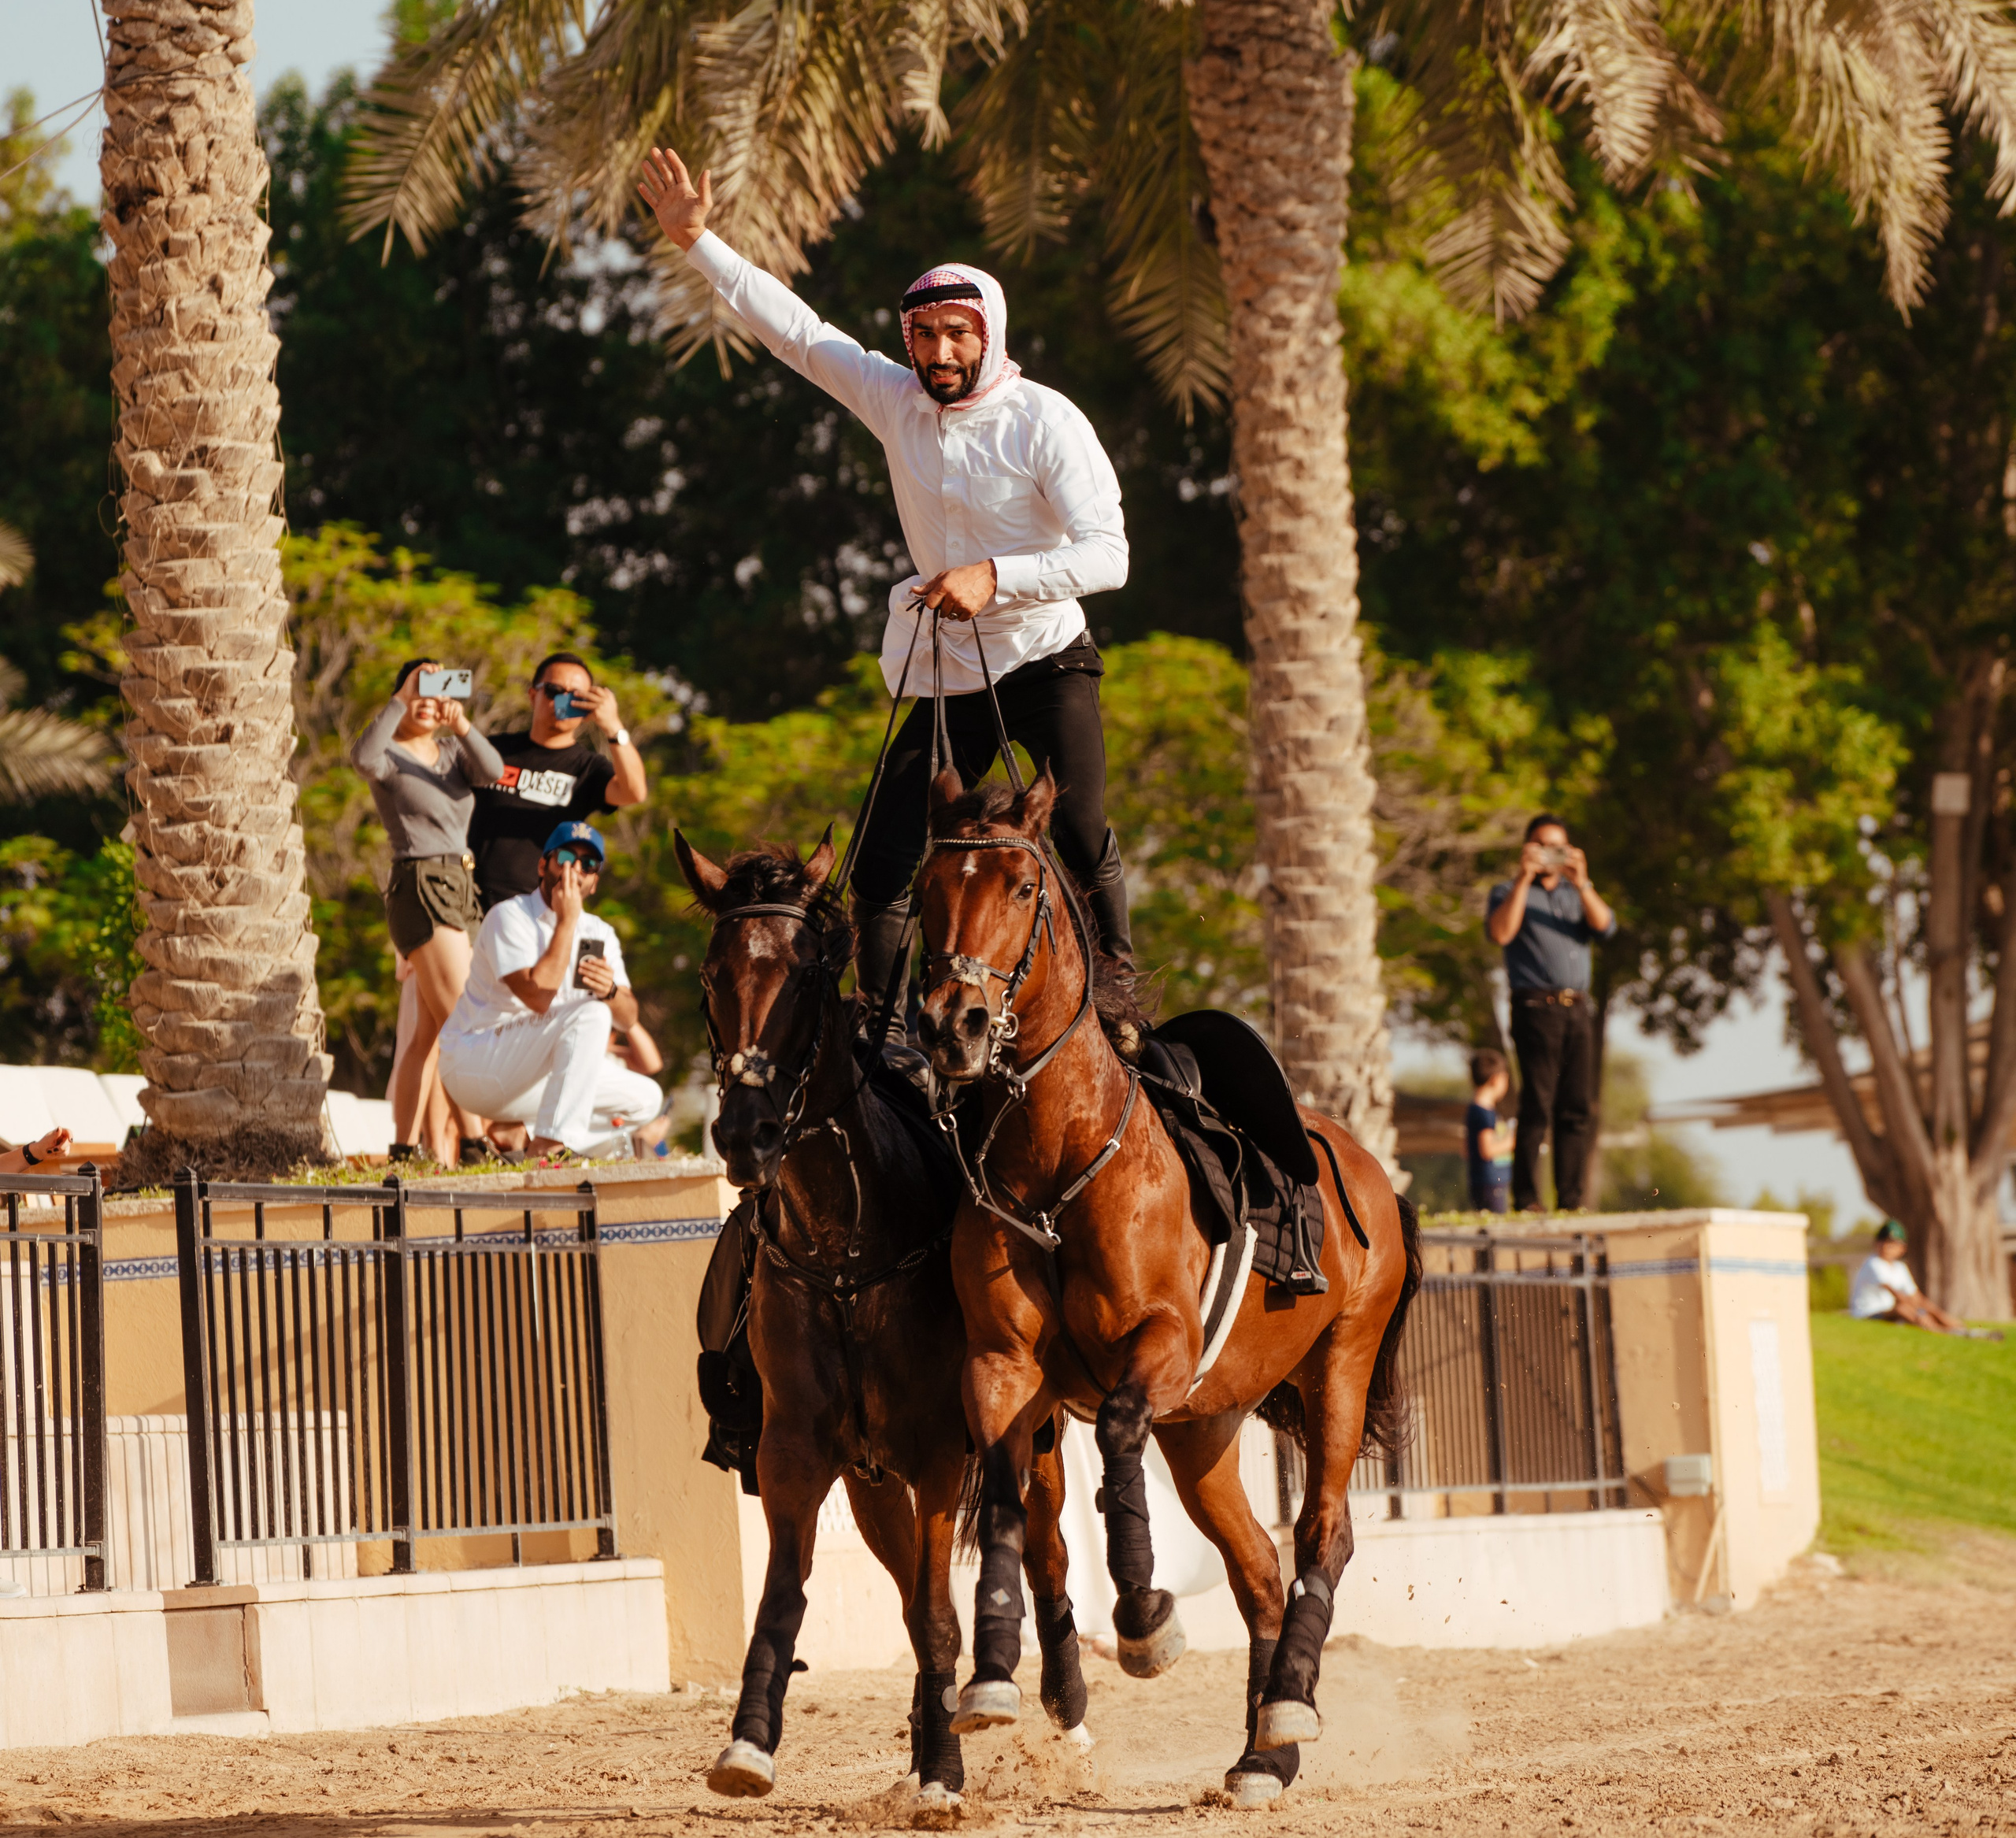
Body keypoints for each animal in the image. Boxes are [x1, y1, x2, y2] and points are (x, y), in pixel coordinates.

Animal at [675, 829, 1094, 1809]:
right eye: (712, 974)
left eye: (807, 972)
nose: (745, 1134)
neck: (844, 1252)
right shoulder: (796, 1452)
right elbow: (790, 1597)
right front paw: (749, 1740)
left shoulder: (941, 1455)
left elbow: (942, 1609)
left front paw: (944, 1768)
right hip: (869, 1481)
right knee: (911, 1588)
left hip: (1032, 1435)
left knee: (1047, 1547)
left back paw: (1063, 1700)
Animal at [906, 773, 1422, 1807]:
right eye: (931, 884)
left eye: (1022, 888)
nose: (952, 1024)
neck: (1058, 1161)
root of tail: (1369, 1169)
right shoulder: (1001, 1366)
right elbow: (1006, 1495)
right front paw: (991, 1673)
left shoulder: (1161, 1347)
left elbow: (1112, 1435)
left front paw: (1145, 1616)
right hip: (1205, 1428)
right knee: (1258, 1568)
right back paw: (1264, 1752)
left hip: (1338, 1369)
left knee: (1322, 1536)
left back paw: (1288, 1707)